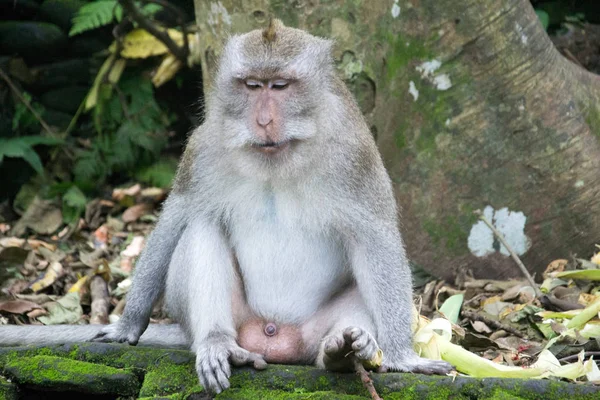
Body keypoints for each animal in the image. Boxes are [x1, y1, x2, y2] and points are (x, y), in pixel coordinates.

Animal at [0, 19, 450, 394]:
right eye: (251, 85)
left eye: (280, 86)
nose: (263, 121)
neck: (280, 156)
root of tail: (273, 338)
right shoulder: (203, 148)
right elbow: (178, 215)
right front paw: (127, 326)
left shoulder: (354, 156)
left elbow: (376, 237)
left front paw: (403, 357)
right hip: (227, 318)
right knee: (201, 229)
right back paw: (218, 343)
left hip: (309, 331)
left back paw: (340, 351)